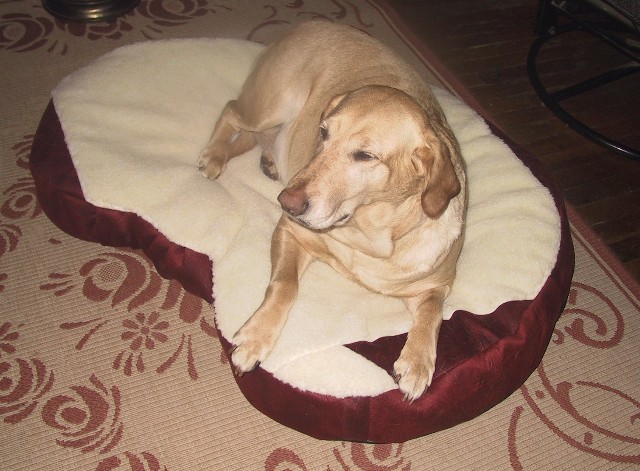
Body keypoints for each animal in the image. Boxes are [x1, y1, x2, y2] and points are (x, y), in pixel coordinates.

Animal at [198, 20, 468, 400]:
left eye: (365, 156)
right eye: (323, 133)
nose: (286, 201)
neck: (367, 237)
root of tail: (308, 23)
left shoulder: (436, 285)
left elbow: (433, 313)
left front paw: (417, 363)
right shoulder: (291, 231)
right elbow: (285, 285)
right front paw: (255, 337)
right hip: (268, 106)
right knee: (231, 110)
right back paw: (214, 154)